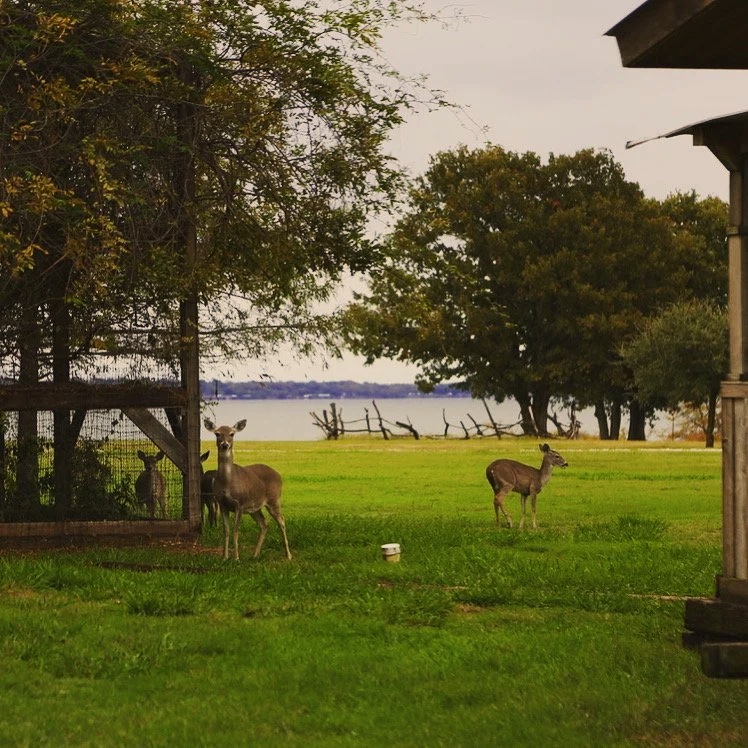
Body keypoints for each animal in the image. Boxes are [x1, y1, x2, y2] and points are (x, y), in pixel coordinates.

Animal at [203, 418, 292, 561]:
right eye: (217, 434)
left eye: (232, 433)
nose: (225, 444)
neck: (227, 483)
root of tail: (278, 475)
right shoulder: (223, 504)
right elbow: (226, 530)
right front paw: (225, 557)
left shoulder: (240, 503)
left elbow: (235, 530)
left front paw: (236, 558)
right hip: (254, 507)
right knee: (264, 523)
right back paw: (255, 555)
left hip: (274, 499)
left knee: (282, 521)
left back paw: (288, 555)